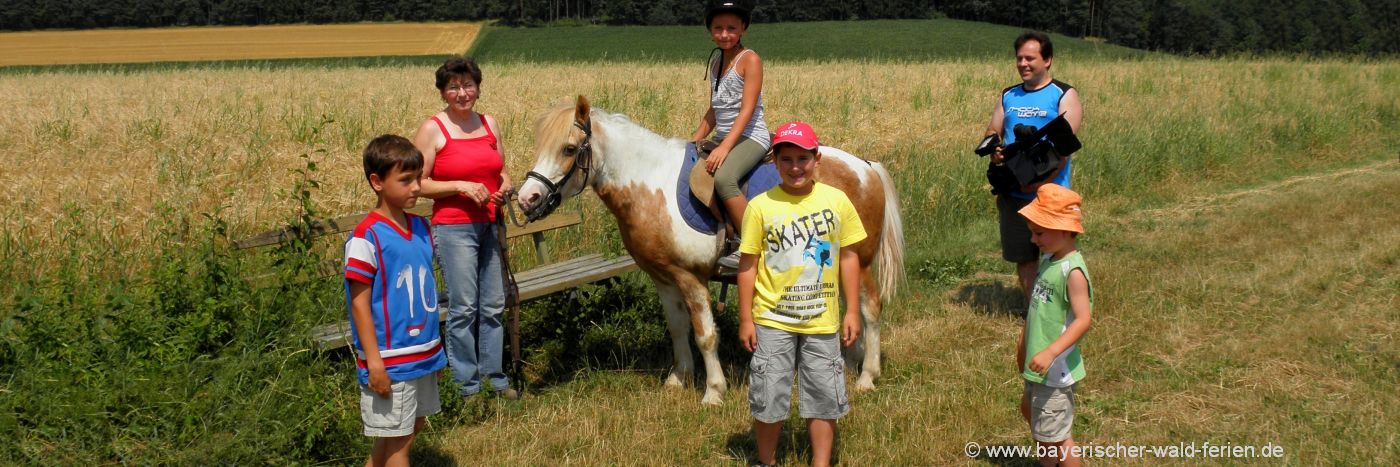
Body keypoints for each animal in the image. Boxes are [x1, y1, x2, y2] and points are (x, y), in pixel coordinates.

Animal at [518, 95, 907, 405]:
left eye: (568, 149)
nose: (526, 198)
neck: (650, 184)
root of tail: (865, 166)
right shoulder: (663, 277)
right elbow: (677, 328)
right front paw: (678, 379)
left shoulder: (690, 277)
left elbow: (705, 335)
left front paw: (714, 391)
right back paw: (849, 363)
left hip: (862, 261)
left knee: (870, 308)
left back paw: (867, 376)